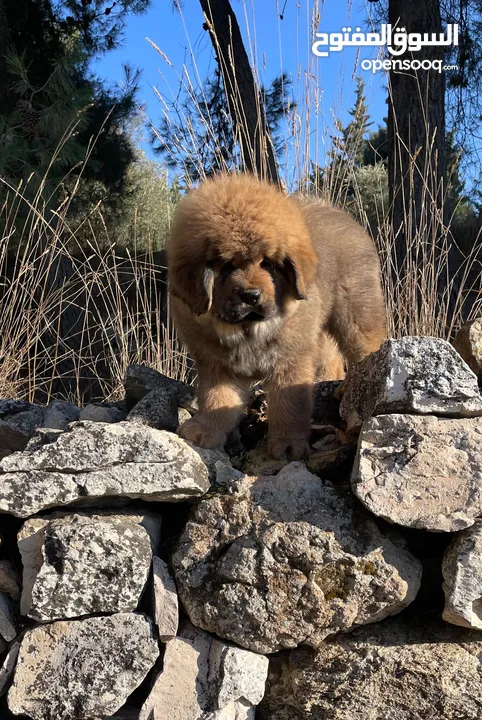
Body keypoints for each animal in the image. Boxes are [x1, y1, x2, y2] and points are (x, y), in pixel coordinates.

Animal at [168, 172, 386, 458]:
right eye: (226, 266)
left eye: (268, 263)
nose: (251, 296)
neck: (248, 330)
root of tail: (338, 212)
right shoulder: (215, 362)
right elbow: (217, 397)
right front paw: (207, 430)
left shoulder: (290, 359)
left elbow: (288, 404)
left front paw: (288, 443)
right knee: (330, 359)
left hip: (355, 313)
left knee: (365, 347)